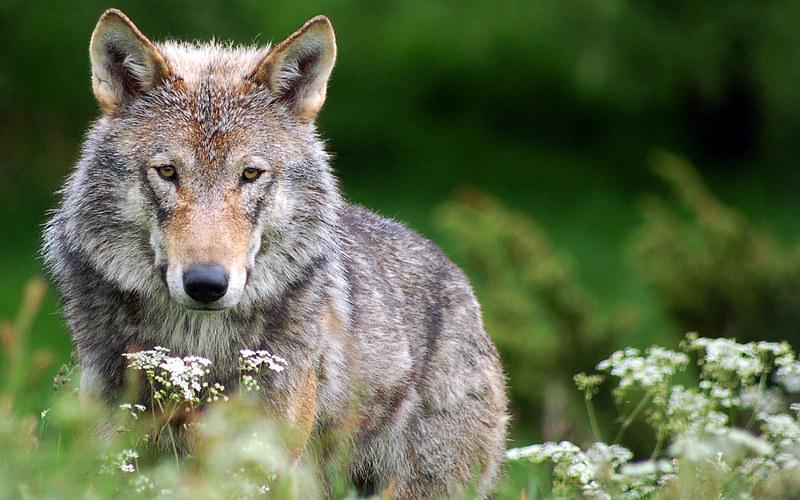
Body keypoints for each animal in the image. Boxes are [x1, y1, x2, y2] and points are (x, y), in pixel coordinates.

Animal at [43, 9, 508, 498]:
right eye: (167, 171)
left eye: (250, 174)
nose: (206, 284)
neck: (194, 349)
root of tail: (459, 281)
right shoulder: (114, 457)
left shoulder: (254, 463)